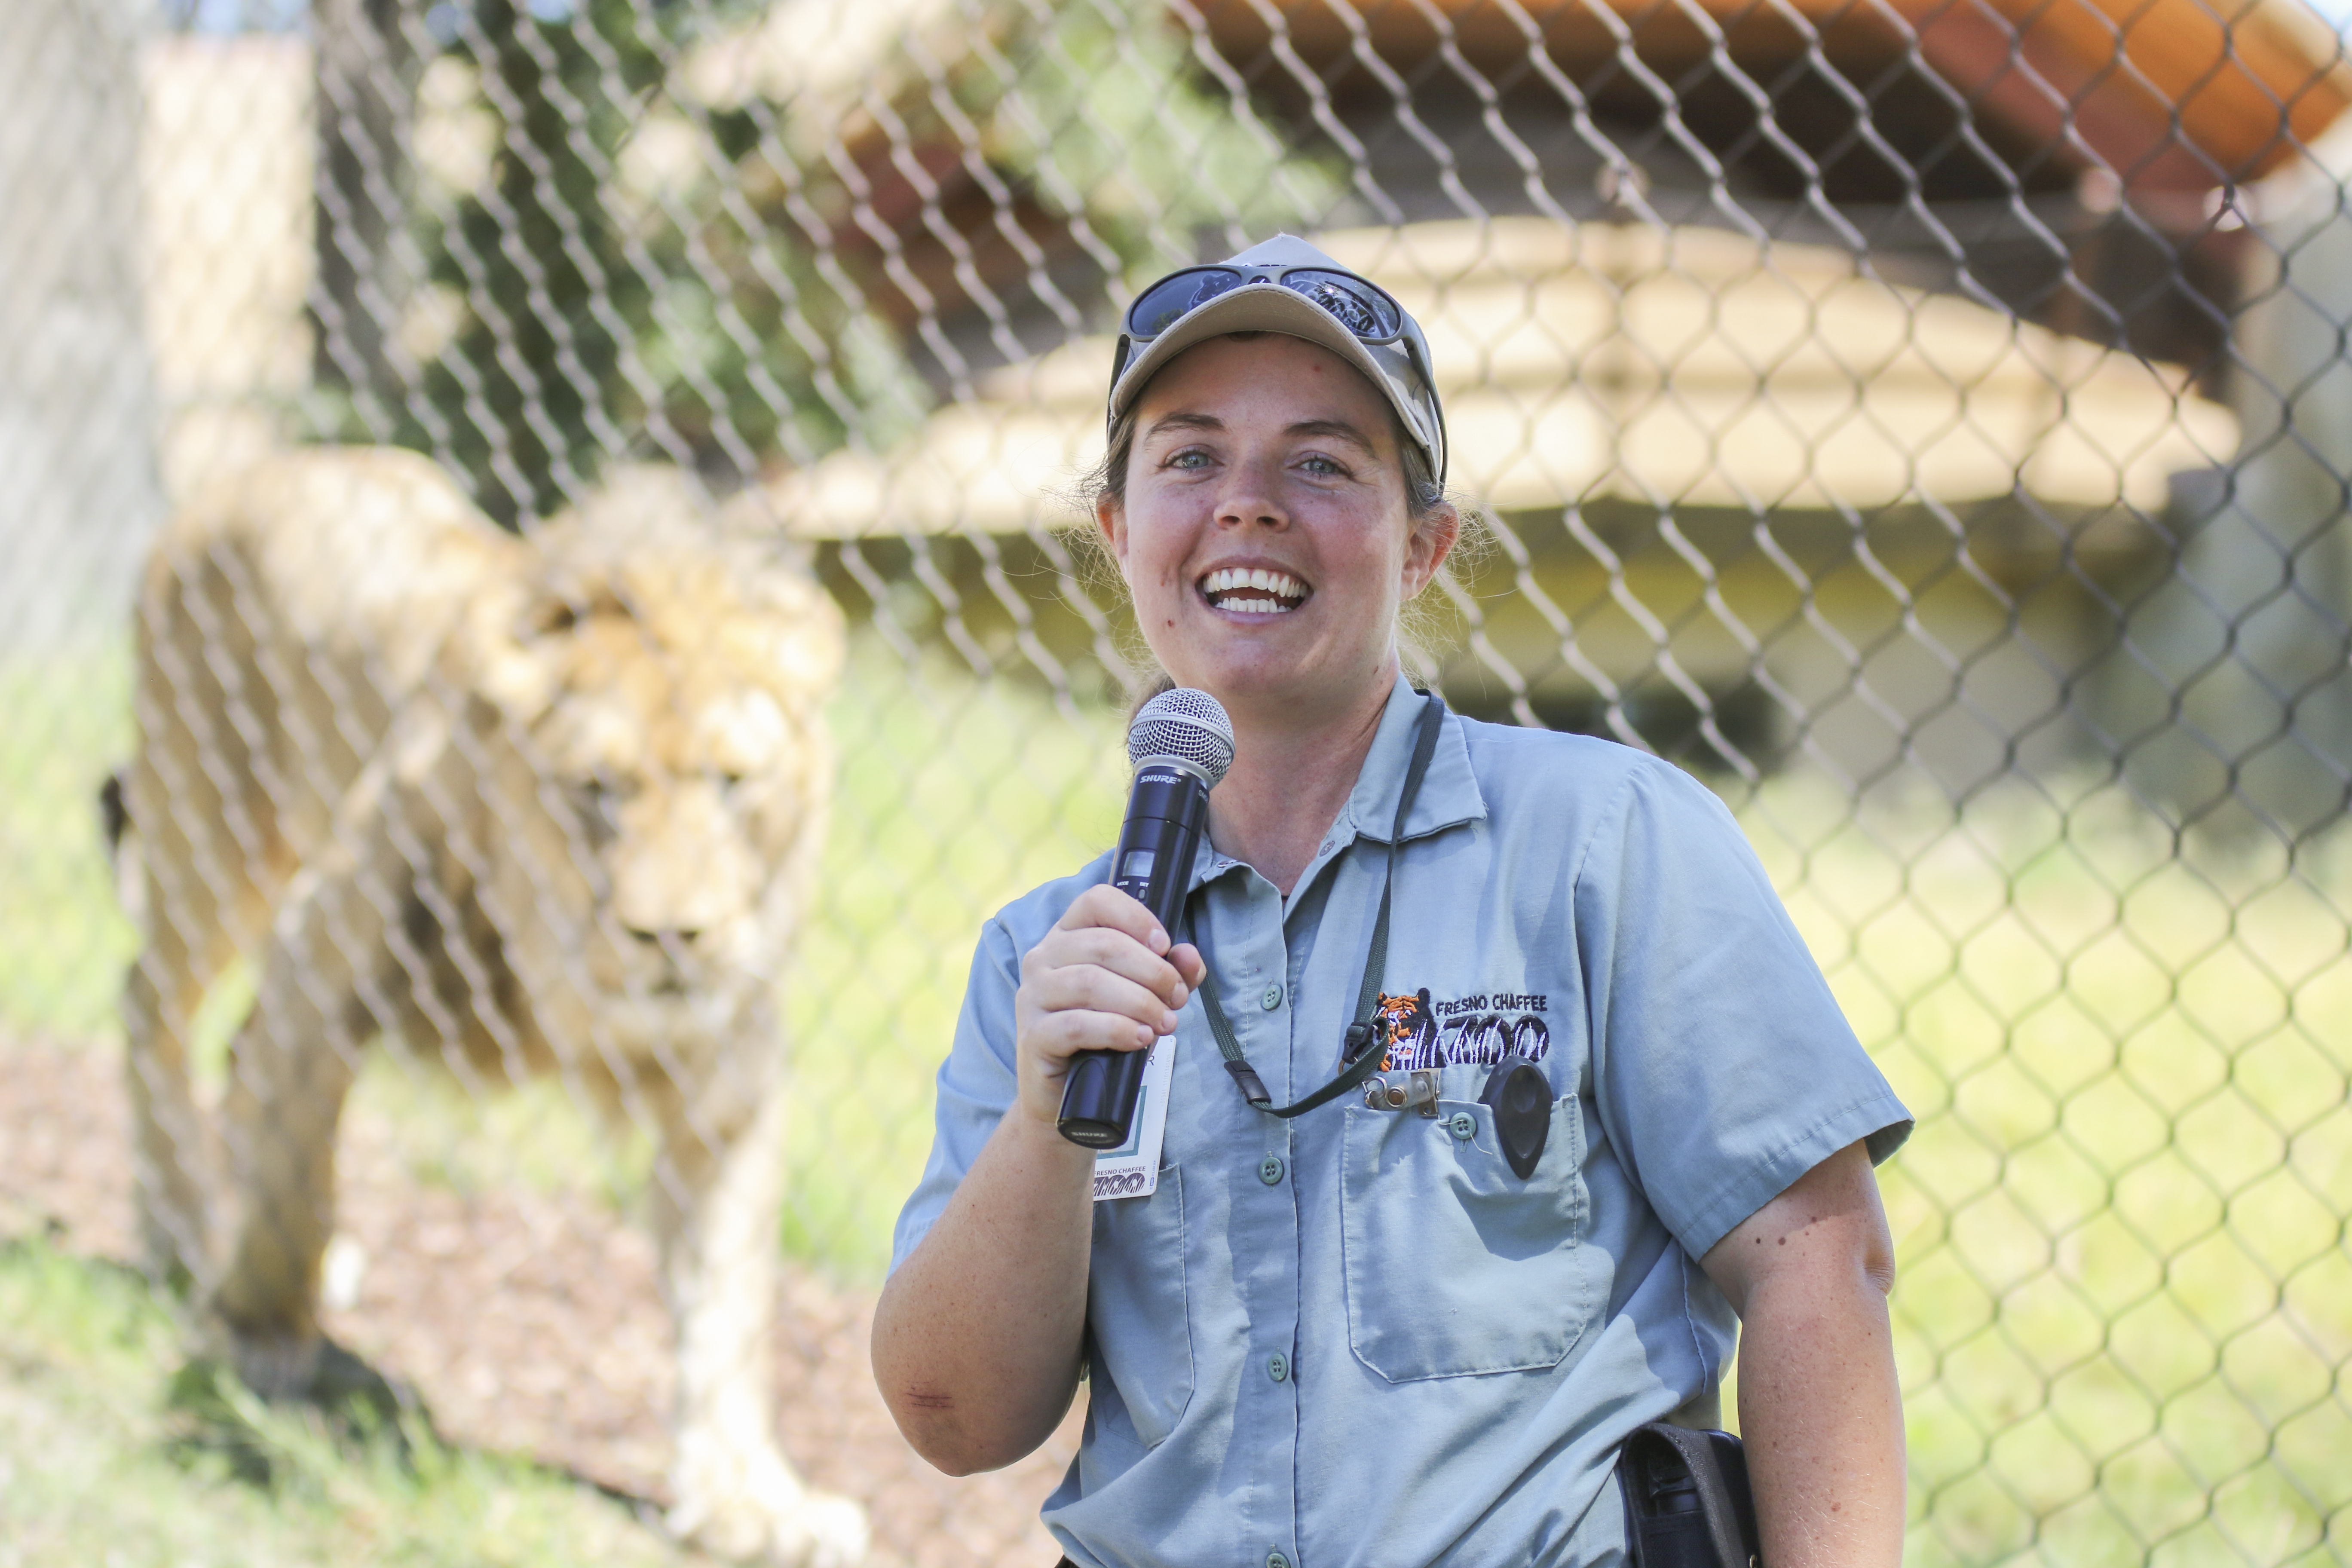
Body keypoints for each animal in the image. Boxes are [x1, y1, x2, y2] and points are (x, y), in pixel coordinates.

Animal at [122, 444, 875, 1568]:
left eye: (733, 783)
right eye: (598, 790)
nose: (674, 937)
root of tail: (258, 467)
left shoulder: (726, 1081)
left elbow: (730, 1300)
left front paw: (747, 1499)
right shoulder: (316, 955)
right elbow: (296, 1187)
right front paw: (260, 1340)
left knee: (238, 1059)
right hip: (208, 839)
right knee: (153, 1009)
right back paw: (180, 1238)